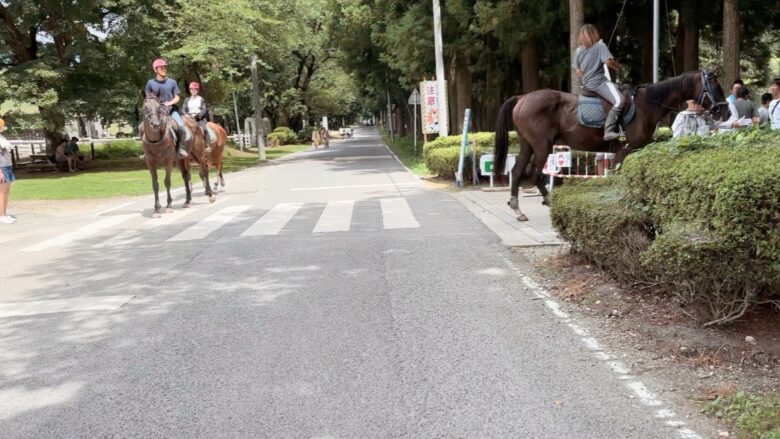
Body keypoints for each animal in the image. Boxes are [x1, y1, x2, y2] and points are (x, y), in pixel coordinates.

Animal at [494, 71, 732, 222]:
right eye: (716, 86)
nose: (726, 112)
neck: (646, 105)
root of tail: (522, 98)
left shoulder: (634, 151)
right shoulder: (623, 151)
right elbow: (617, 177)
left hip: (527, 145)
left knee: (517, 171)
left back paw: (517, 210)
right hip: (542, 145)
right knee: (534, 173)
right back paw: (549, 201)